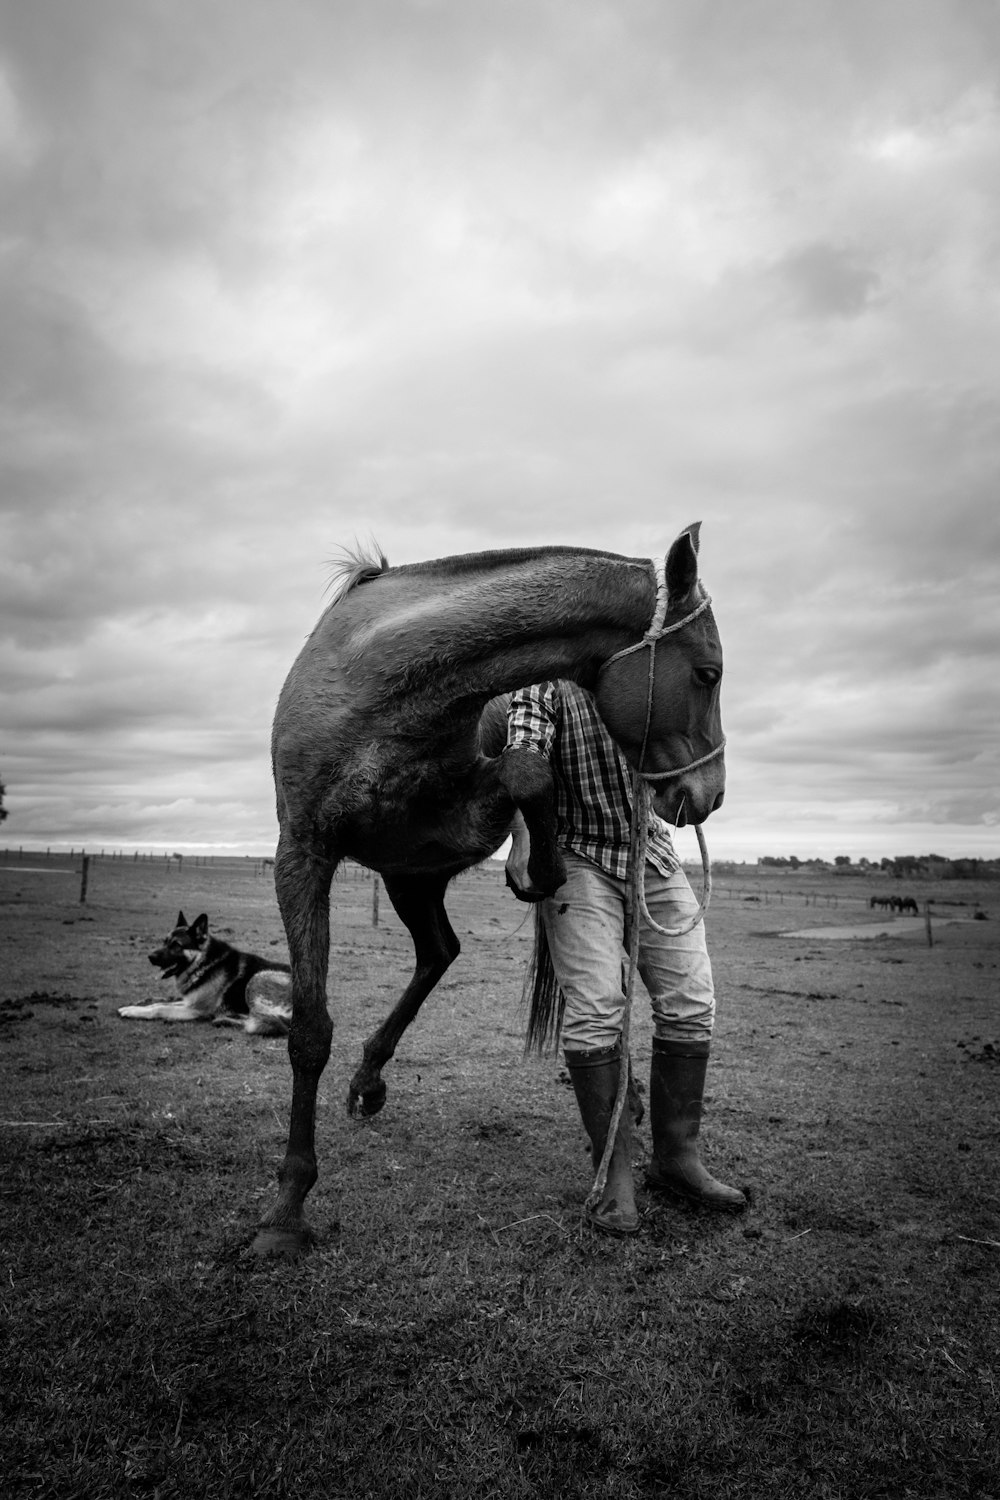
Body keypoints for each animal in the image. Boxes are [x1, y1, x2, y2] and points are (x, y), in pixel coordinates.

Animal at [119, 906, 293, 1038]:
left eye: (176, 945)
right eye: (165, 942)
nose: (150, 957)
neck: (204, 963)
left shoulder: (195, 1009)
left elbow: (160, 1008)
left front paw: (133, 1011)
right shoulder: (189, 1001)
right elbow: (159, 1003)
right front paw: (132, 1008)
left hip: (257, 978)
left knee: (271, 1023)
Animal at [257, 528, 728, 1254]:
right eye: (708, 674)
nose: (710, 794)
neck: (378, 691)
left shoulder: (461, 821)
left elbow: (529, 772)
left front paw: (543, 868)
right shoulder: (303, 857)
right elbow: (308, 1032)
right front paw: (286, 1211)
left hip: (413, 875)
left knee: (440, 952)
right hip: (407, 876)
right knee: (436, 953)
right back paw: (368, 1082)